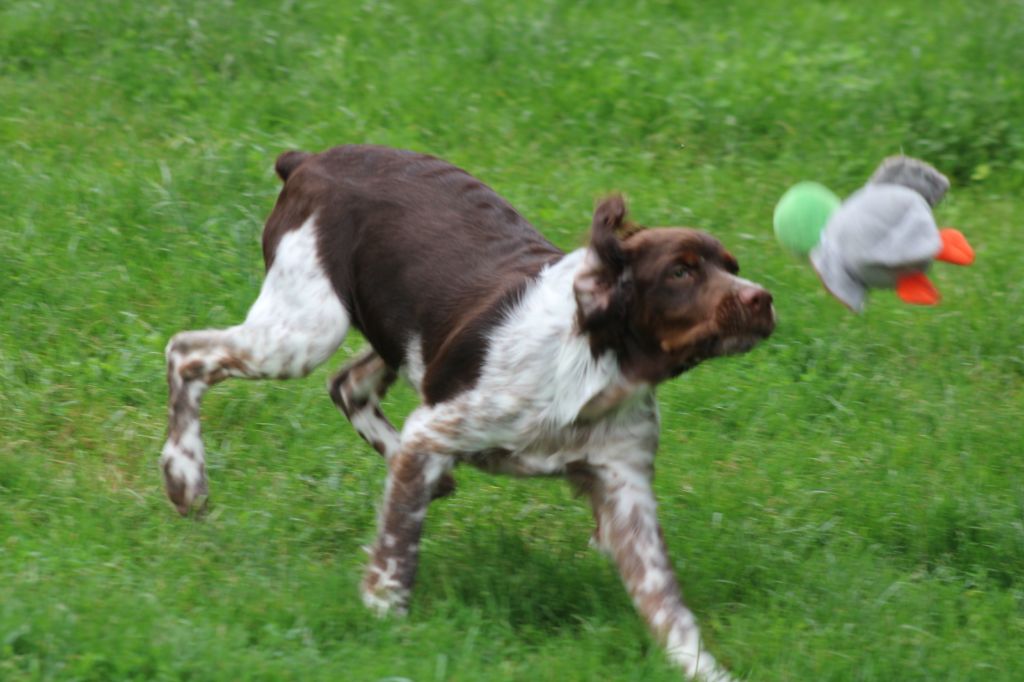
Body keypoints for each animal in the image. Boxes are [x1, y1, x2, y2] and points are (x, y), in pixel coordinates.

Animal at [159, 144, 770, 679]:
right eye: (681, 273)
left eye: (732, 265)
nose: (763, 298)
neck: (598, 365)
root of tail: (308, 160)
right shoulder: (439, 427)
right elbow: (397, 550)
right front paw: (382, 617)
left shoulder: (625, 489)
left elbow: (668, 607)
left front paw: (704, 671)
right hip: (304, 328)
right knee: (186, 352)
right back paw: (184, 477)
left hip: (391, 333)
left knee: (348, 385)